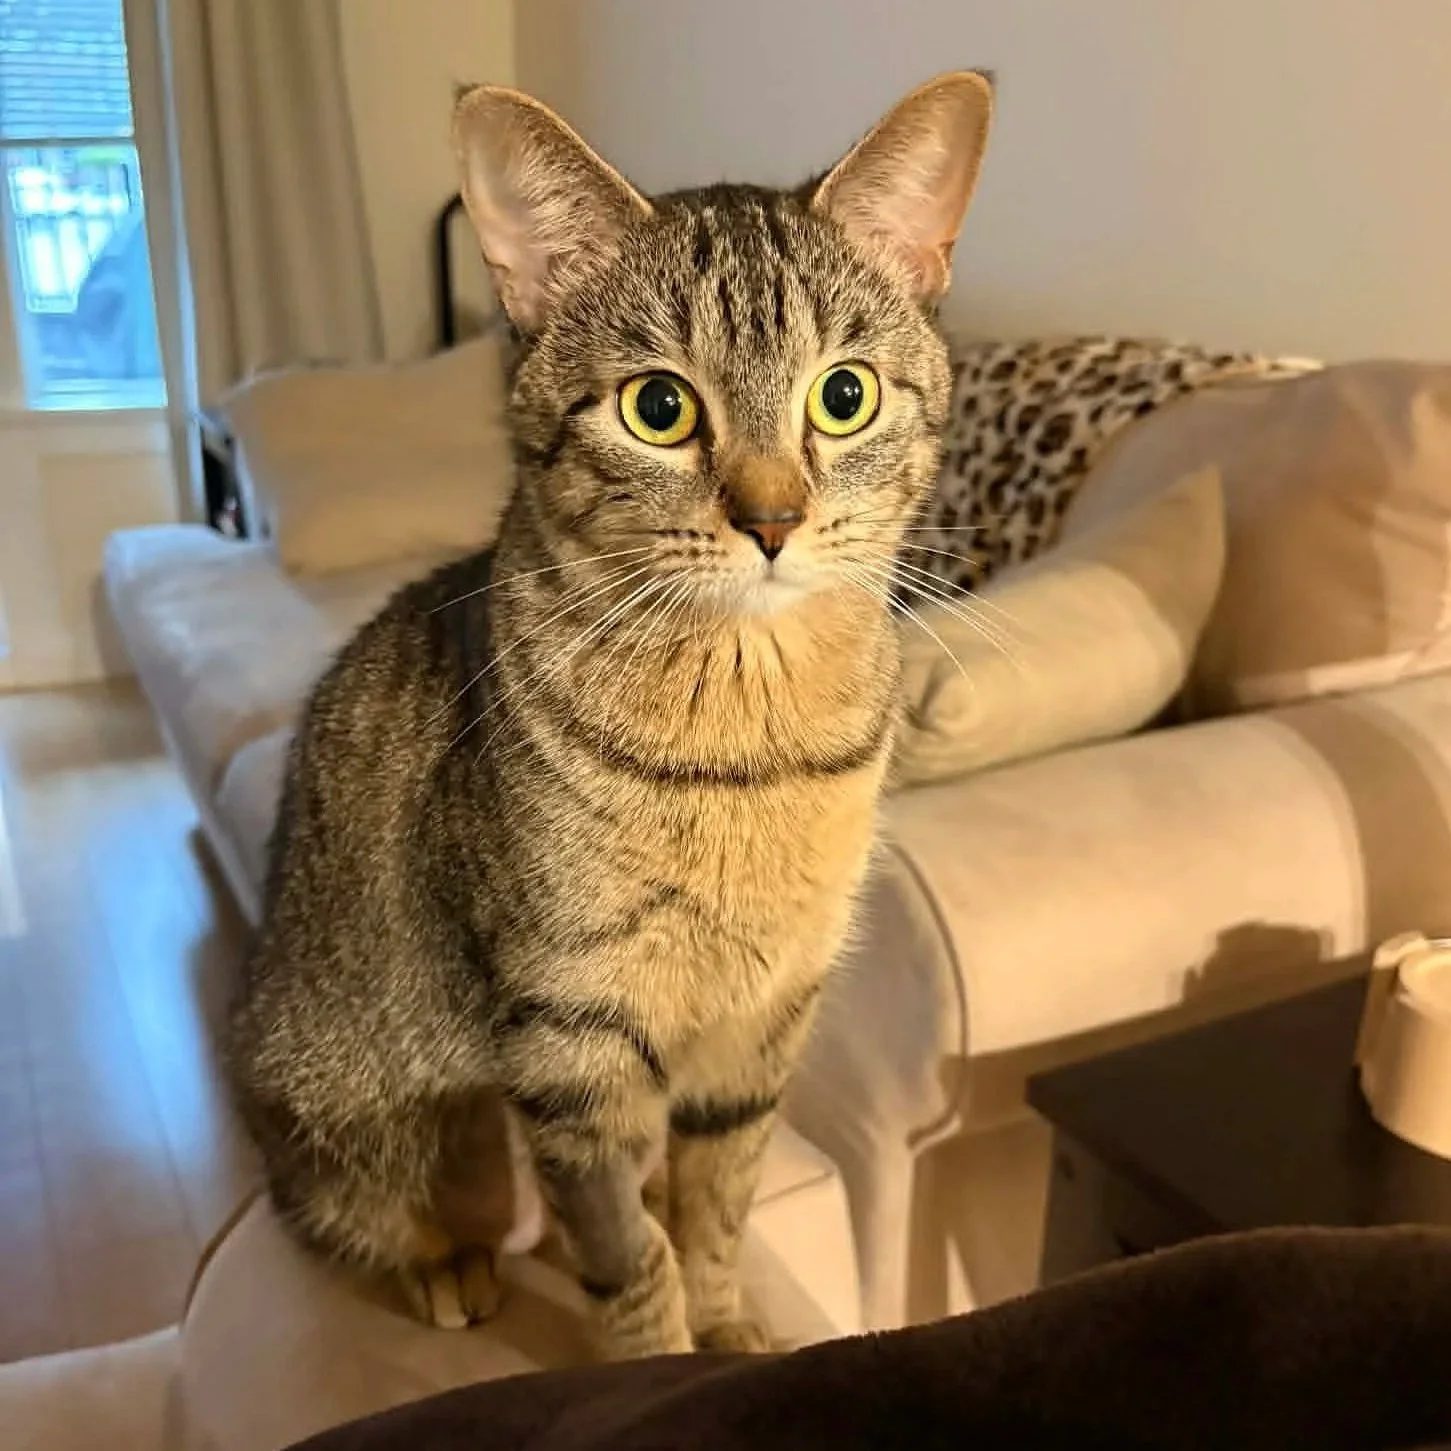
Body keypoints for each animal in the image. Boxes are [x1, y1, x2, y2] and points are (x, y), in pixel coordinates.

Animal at [225, 71, 994, 1361]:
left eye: (842, 396)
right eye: (658, 407)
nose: (772, 519)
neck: (751, 740)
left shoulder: (760, 1029)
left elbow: (715, 1210)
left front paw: (727, 1326)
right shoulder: (570, 1042)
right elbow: (629, 1258)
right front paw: (661, 1360)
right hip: (354, 1100)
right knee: (357, 1206)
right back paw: (444, 1262)